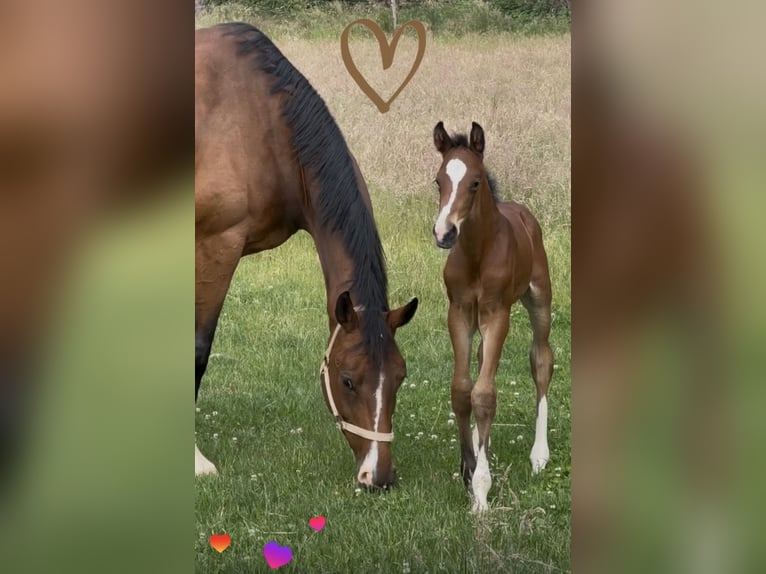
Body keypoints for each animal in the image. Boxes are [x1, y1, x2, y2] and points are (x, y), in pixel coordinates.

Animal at [430, 121, 554, 512]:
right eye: (438, 181)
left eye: (475, 182)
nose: (444, 233)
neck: (477, 253)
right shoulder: (459, 312)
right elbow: (462, 390)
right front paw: (469, 468)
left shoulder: (498, 313)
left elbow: (484, 395)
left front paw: (481, 491)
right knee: (483, 363)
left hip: (539, 301)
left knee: (542, 360)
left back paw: (539, 455)